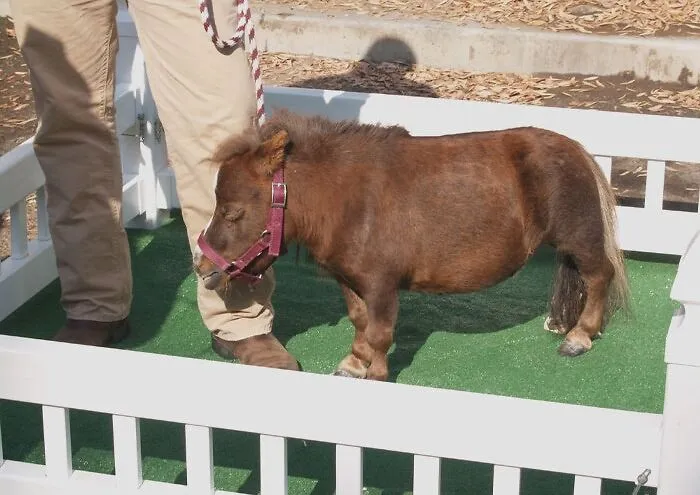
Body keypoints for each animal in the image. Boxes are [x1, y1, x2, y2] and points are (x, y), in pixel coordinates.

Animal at [193, 109, 630, 381]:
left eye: (232, 212)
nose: (203, 268)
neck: (348, 202)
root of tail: (577, 150)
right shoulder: (350, 281)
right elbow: (360, 322)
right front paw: (354, 363)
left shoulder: (382, 285)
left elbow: (381, 333)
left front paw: (376, 374)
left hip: (579, 238)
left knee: (599, 276)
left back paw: (580, 336)